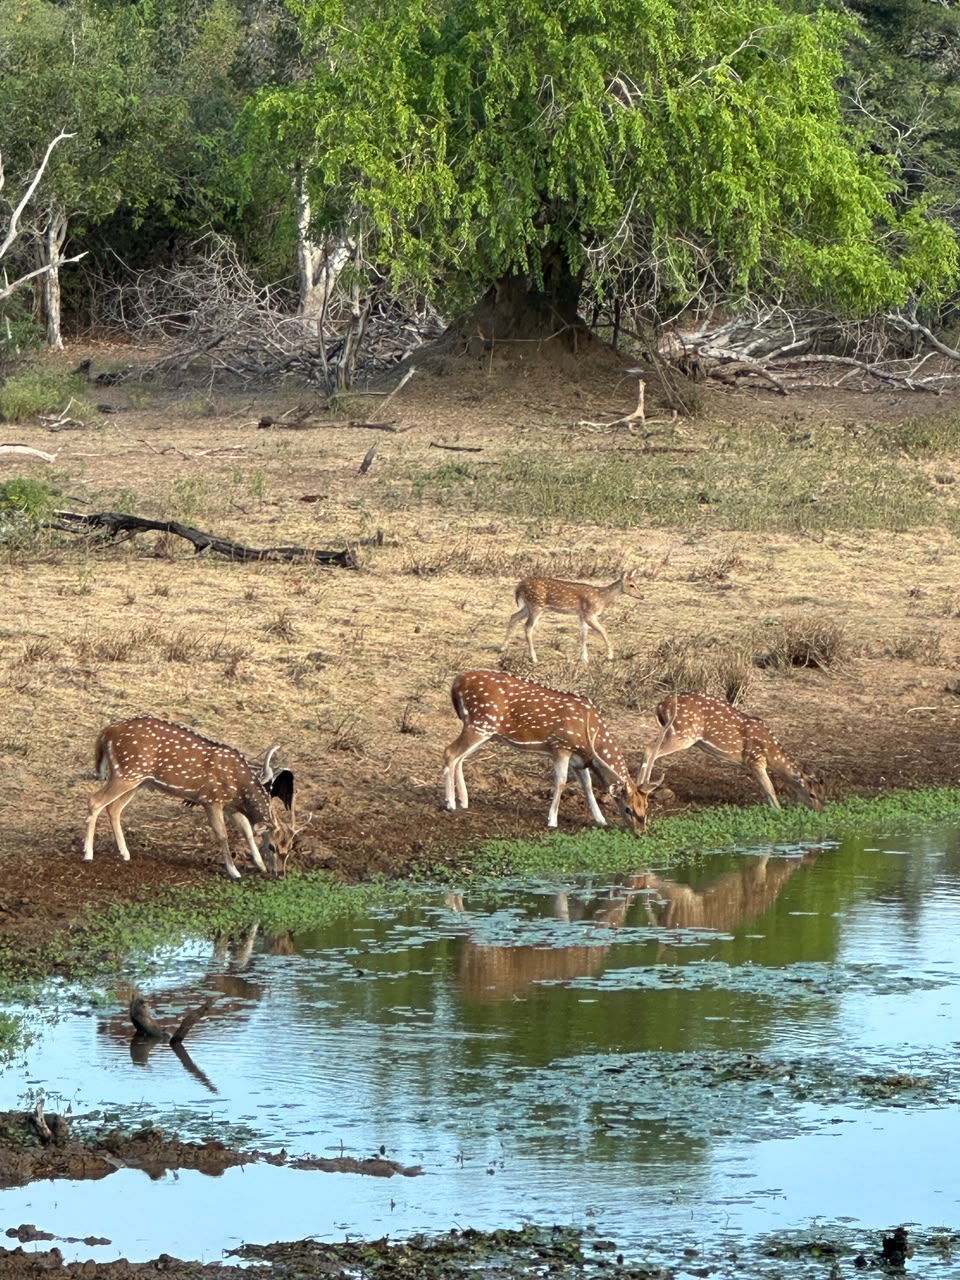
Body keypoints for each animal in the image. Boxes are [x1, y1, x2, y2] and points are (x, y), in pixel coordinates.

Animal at [83, 717, 299, 879]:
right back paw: (88, 854)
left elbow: (246, 829)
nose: (280, 874)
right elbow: (223, 834)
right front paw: (234, 872)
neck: (239, 789)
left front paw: (260, 865)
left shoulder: (229, 805)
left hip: (136, 780)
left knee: (113, 808)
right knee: (95, 801)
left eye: (289, 848)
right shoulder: (210, 799)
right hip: (127, 773)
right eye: (272, 846)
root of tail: (106, 733)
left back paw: (125, 853)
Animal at [442, 669, 669, 833]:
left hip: (484, 729)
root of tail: (457, 681)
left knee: (460, 758)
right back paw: (450, 803)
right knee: (450, 752)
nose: (641, 832)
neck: (590, 738)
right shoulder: (561, 746)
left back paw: (464, 800)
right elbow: (560, 782)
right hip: (480, 723)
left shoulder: (580, 760)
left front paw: (601, 820)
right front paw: (552, 820)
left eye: (646, 806)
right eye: (628, 808)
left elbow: (587, 786)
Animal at [503, 569, 643, 665]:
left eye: (637, 583)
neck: (602, 599)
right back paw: (534, 658)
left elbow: (583, 635)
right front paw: (610, 655)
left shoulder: (581, 615)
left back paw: (502, 647)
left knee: (513, 617)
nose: (642, 596)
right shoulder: (589, 614)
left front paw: (584, 659)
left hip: (528, 606)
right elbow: (603, 631)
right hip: (537, 605)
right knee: (527, 627)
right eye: (632, 585)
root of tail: (519, 586)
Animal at [641, 693, 825, 813]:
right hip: (683, 733)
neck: (771, 753)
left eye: (824, 794)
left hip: (673, 731)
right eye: (812, 795)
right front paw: (779, 811)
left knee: (650, 748)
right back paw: (644, 787)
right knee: (650, 749)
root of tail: (661, 704)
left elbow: (765, 788)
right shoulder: (755, 759)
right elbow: (770, 788)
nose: (820, 812)